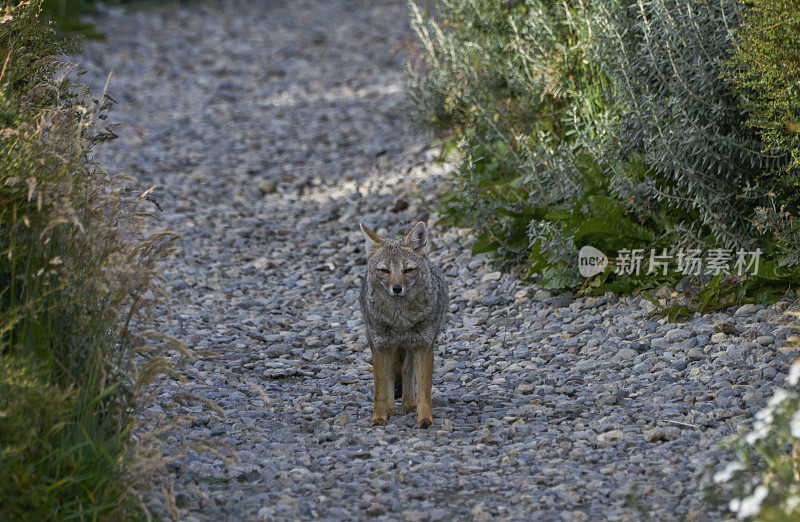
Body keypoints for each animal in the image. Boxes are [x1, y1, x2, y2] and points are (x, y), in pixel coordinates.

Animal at [358, 219, 446, 426]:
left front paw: (424, 419)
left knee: (407, 373)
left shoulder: (424, 345)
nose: (397, 288)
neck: (400, 321)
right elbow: (380, 389)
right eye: (385, 270)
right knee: (391, 374)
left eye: (408, 270)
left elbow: (423, 391)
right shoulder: (380, 346)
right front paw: (379, 417)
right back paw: (390, 407)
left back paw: (408, 404)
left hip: (410, 348)